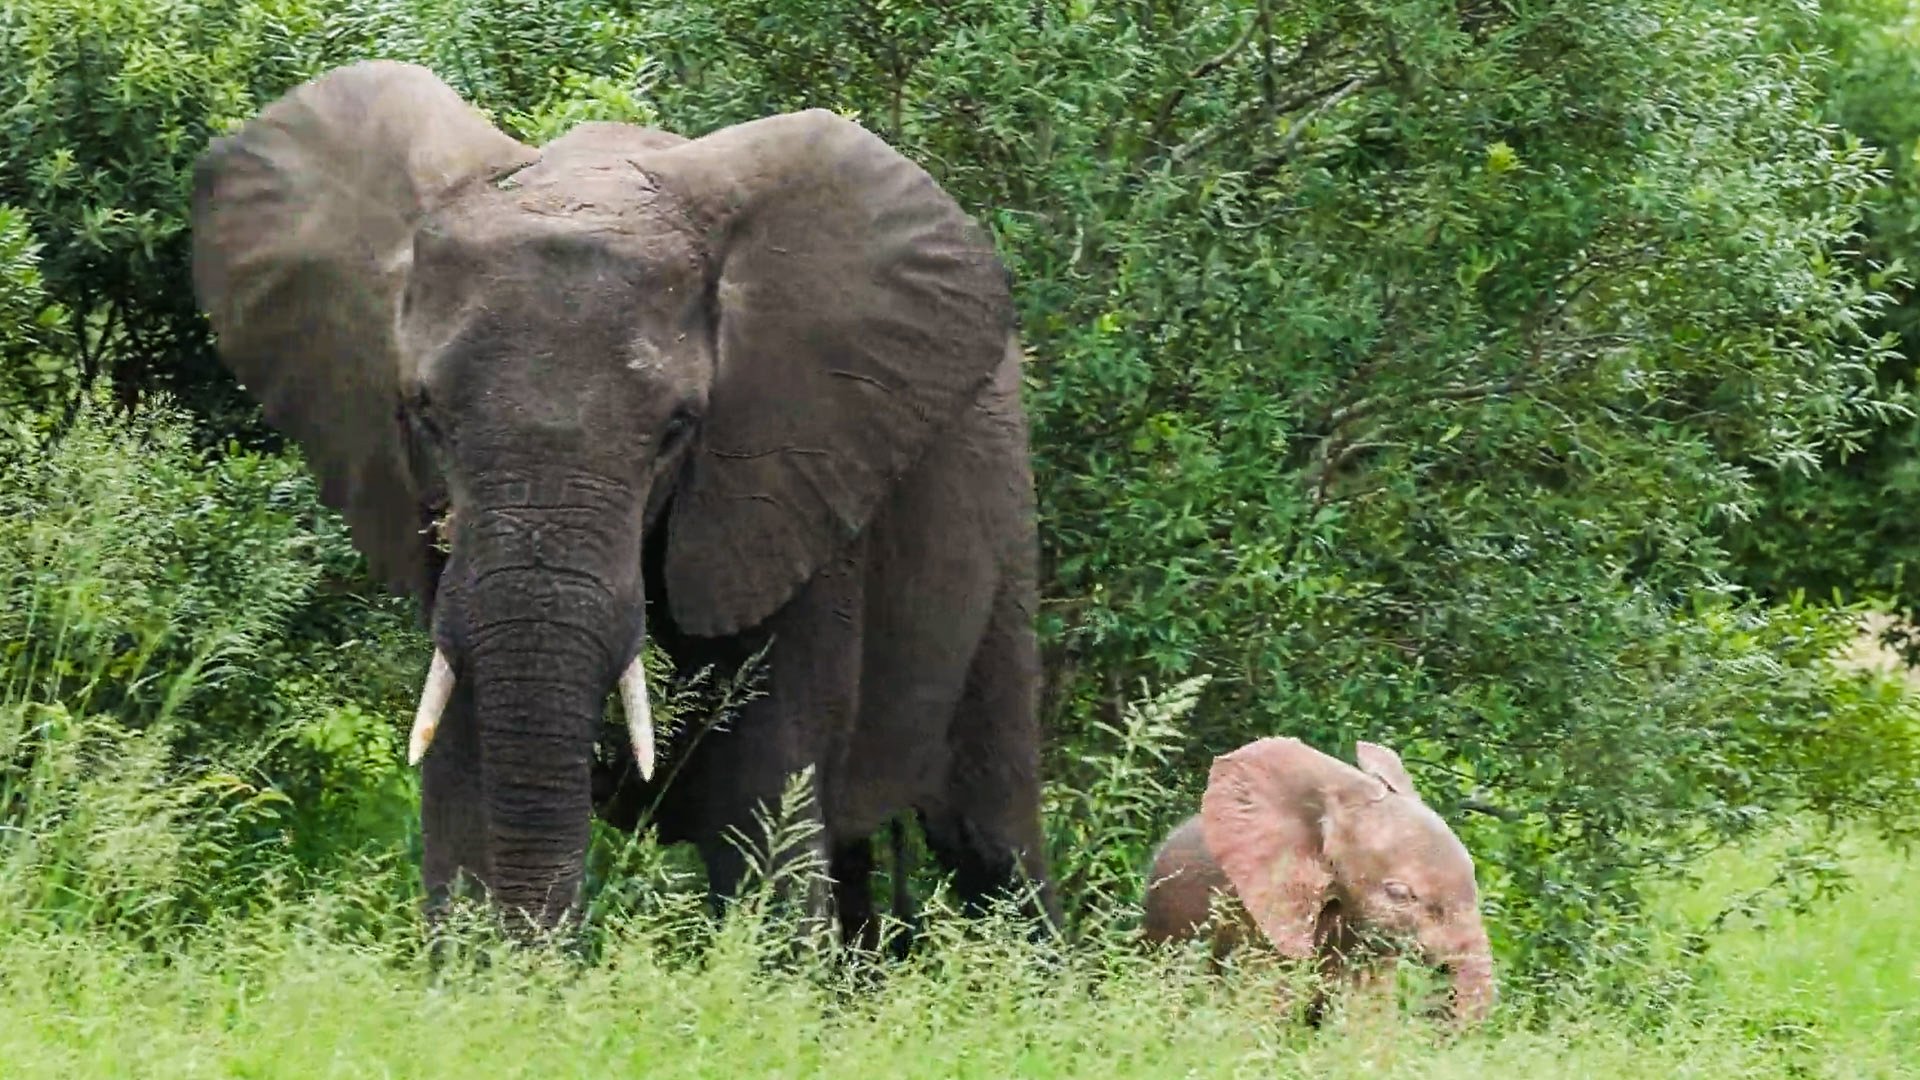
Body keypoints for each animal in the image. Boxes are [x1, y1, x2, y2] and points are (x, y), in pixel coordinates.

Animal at [189, 60, 1059, 940]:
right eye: (423, 412)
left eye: (679, 427)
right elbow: (462, 781)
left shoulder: (791, 474)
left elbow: (761, 806)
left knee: (991, 845)